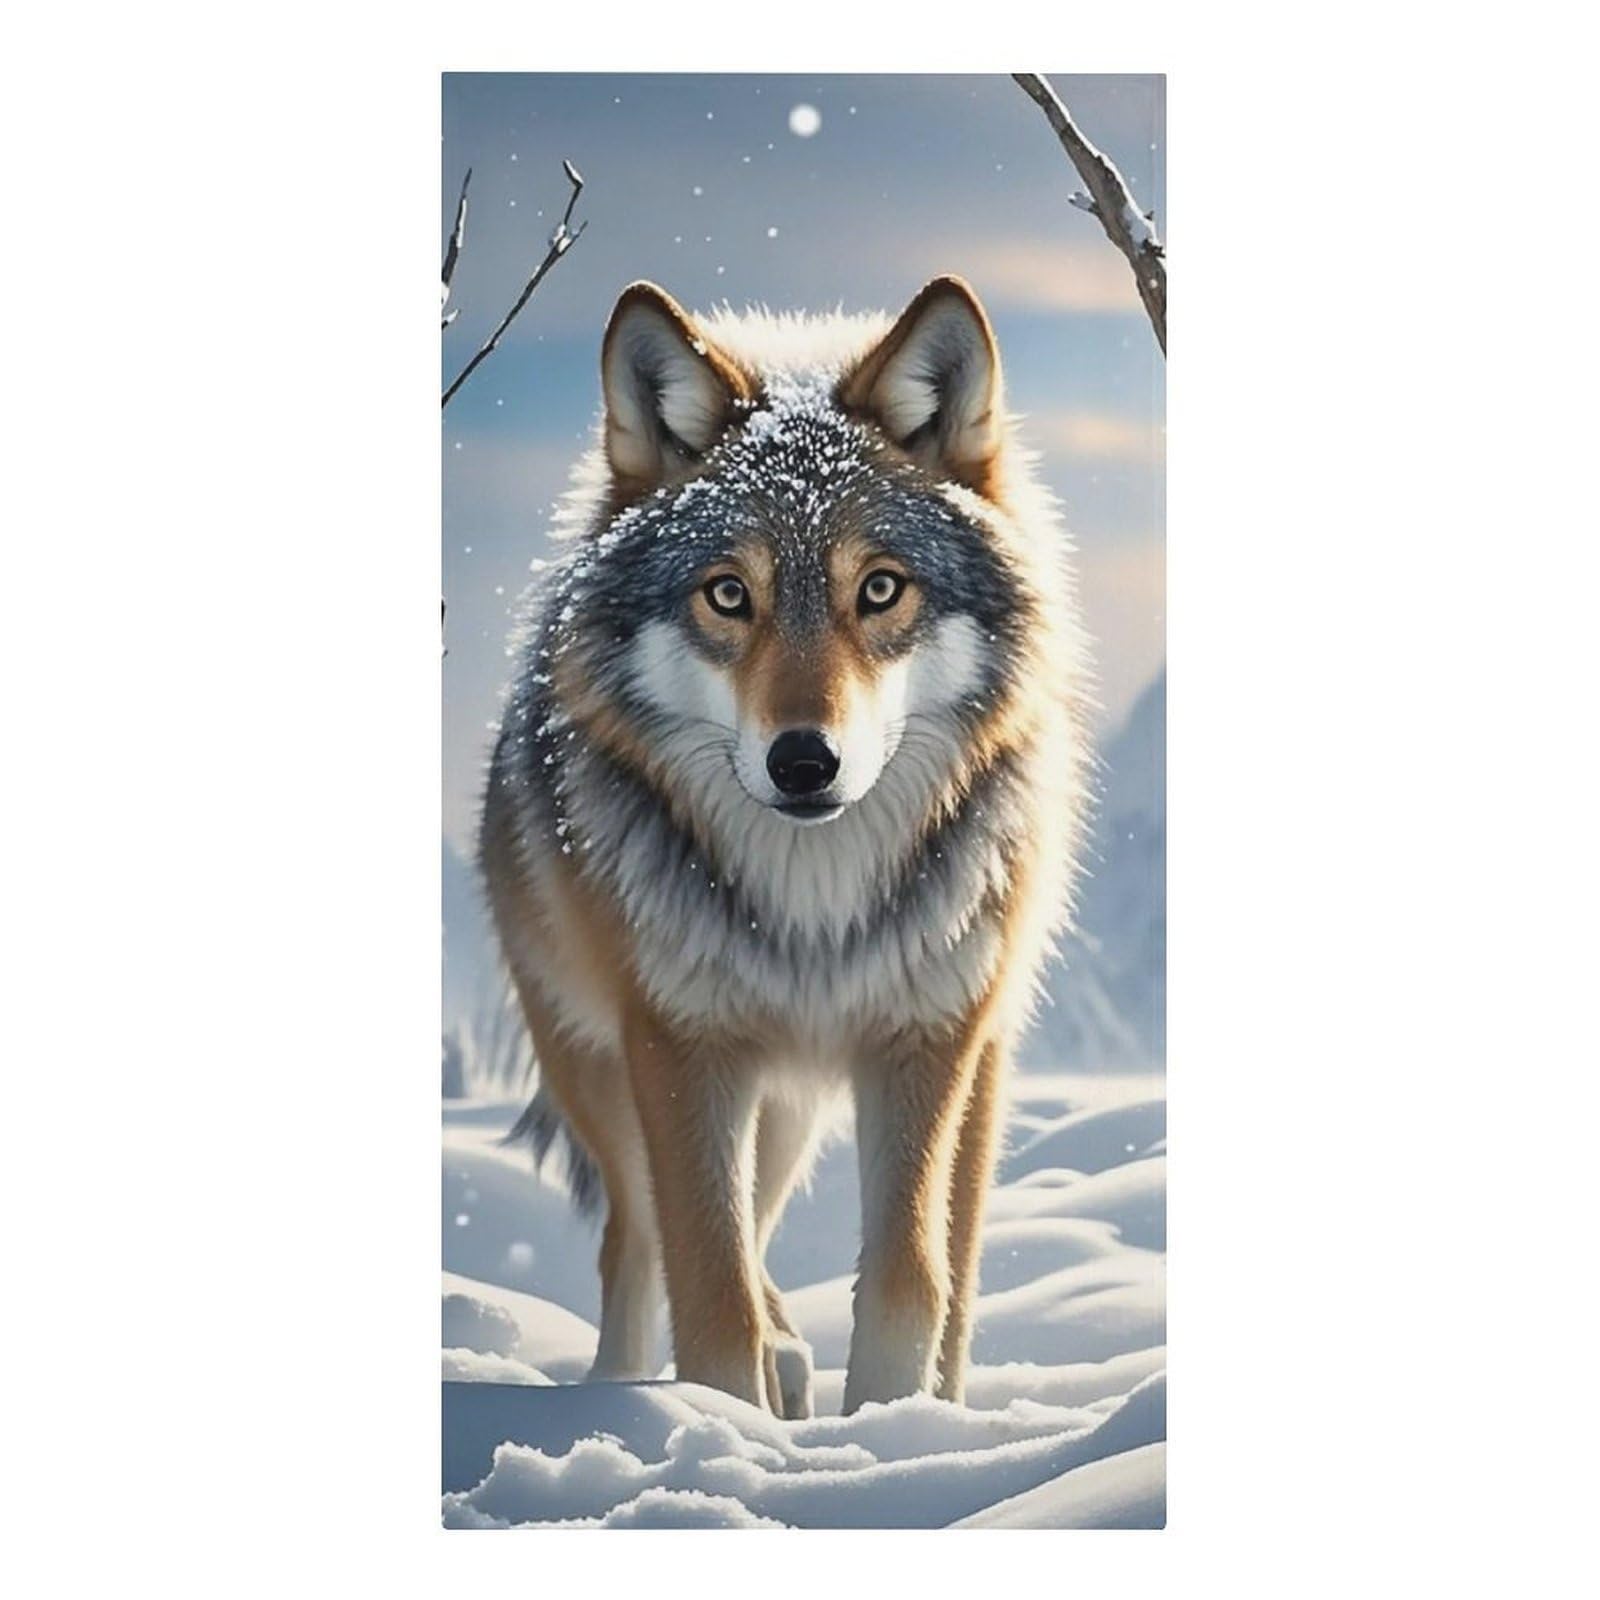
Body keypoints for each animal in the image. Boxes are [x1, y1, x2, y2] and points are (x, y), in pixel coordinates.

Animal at [479, 275, 1091, 1417]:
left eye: (880, 588)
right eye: (729, 594)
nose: (804, 762)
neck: (817, 898)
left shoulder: (921, 1040)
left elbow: (910, 1280)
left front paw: (888, 1428)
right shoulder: (682, 1046)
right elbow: (710, 1291)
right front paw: (726, 1423)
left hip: (917, 1080)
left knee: (927, 1256)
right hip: (615, 1074)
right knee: (638, 1242)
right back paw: (632, 1390)